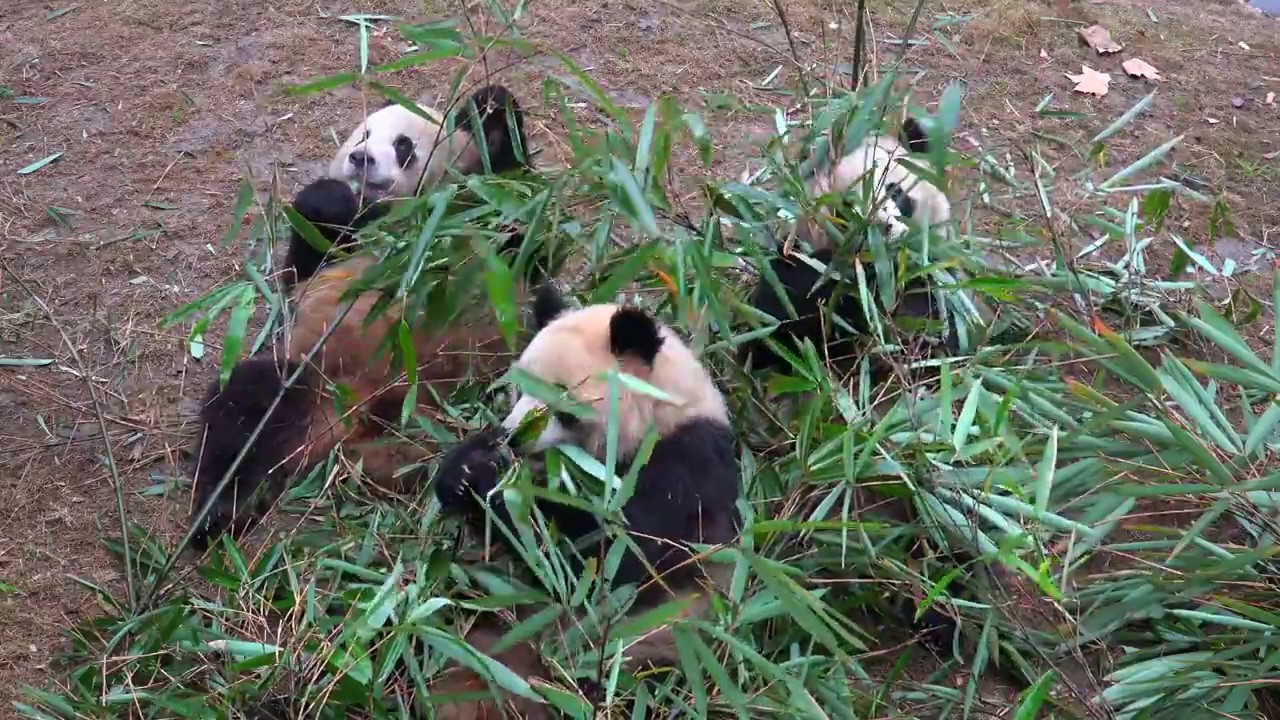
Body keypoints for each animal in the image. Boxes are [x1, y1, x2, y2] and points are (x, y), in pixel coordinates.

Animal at [284, 84, 528, 286]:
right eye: (364, 136)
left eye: (403, 145)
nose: (360, 158)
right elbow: (305, 269)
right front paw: (329, 197)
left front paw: (493, 102)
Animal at [426, 285, 741, 717]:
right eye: (520, 388)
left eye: (561, 399)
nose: (514, 438)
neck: (662, 410)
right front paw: (465, 470)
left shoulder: (688, 467)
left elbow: (616, 557)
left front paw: (492, 483)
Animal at [738, 116, 965, 376]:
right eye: (846, 210)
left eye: (894, 191)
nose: (884, 229)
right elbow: (783, 310)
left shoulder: (934, 275)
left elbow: (933, 317)